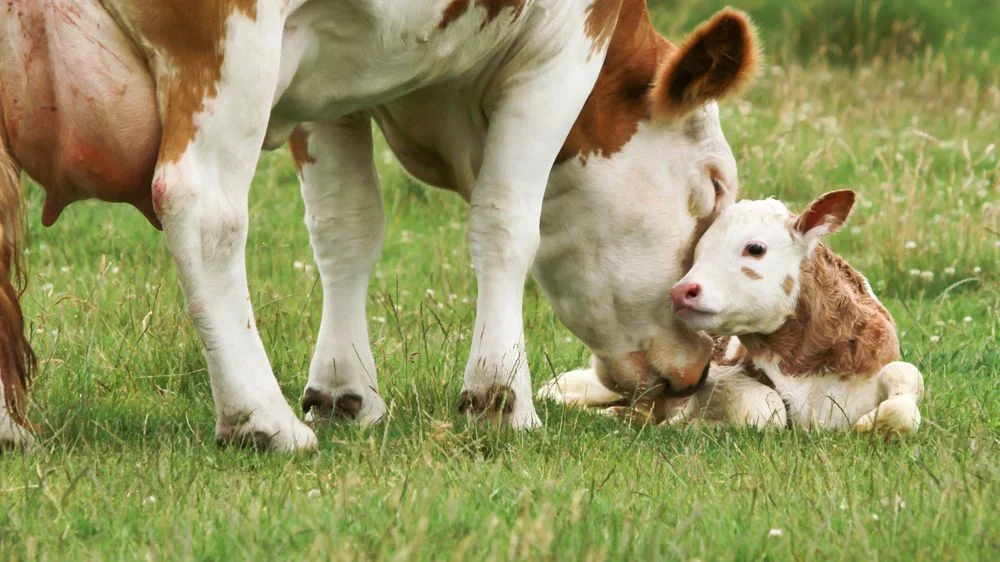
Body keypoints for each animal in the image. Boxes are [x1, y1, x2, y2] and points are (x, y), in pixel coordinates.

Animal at [0, 0, 758, 451]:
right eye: (715, 186)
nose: (701, 366)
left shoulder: (332, 85)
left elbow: (347, 227)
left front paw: (344, 391)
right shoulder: (563, 47)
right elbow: (508, 222)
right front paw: (500, 398)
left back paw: (10, 429)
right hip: (229, 46)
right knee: (204, 209)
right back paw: (262, 420)